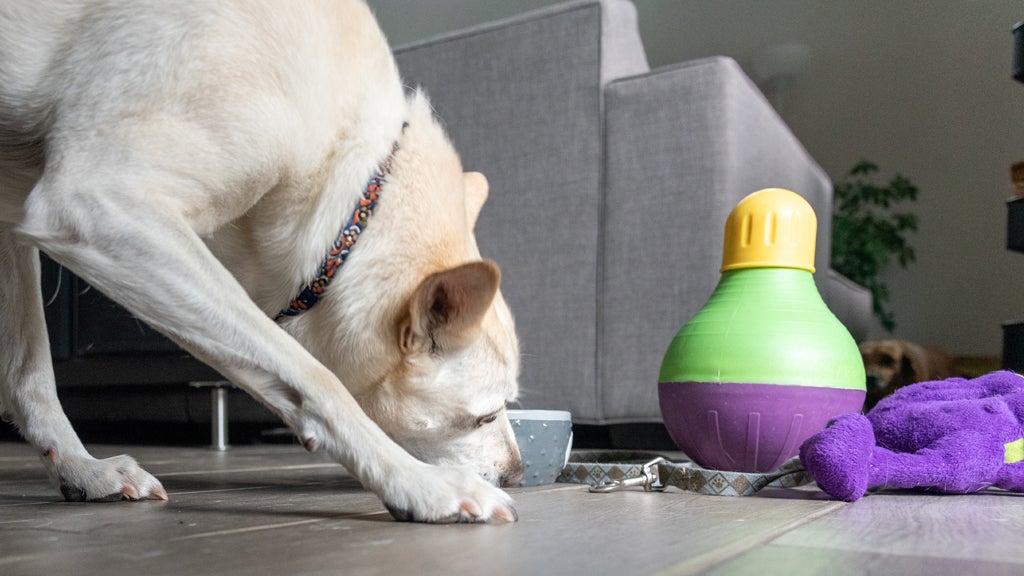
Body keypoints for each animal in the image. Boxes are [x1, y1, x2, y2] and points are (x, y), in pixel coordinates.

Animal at [0, 0, 524, 520]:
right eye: (485, 416)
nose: (518, 475)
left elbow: (29, 372)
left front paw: (77, 468)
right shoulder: (96, 208)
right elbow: (315, 376)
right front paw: (420, 485)